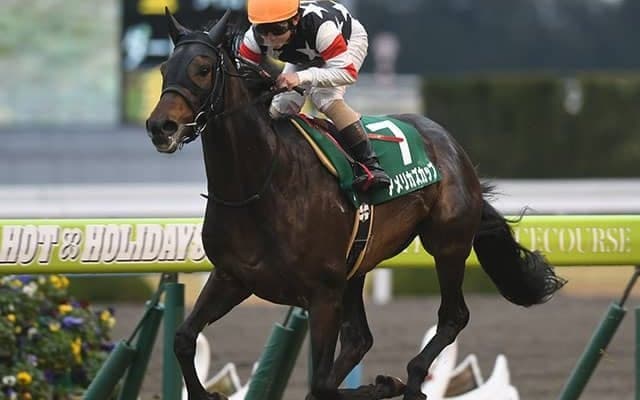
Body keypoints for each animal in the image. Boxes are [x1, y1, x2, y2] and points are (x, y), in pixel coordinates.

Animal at [145, 10, 566, 400]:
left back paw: (412, 379)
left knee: (452, 316)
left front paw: (385, 383)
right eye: (165, 68)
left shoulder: (322, 293)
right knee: (360, 339)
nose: (160, 127)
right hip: (358, 265)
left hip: (447, 245)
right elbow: (183, 339)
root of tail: (453, 147)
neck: (260, 184)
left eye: (202, 69)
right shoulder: (233, 276)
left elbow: (320, 384)